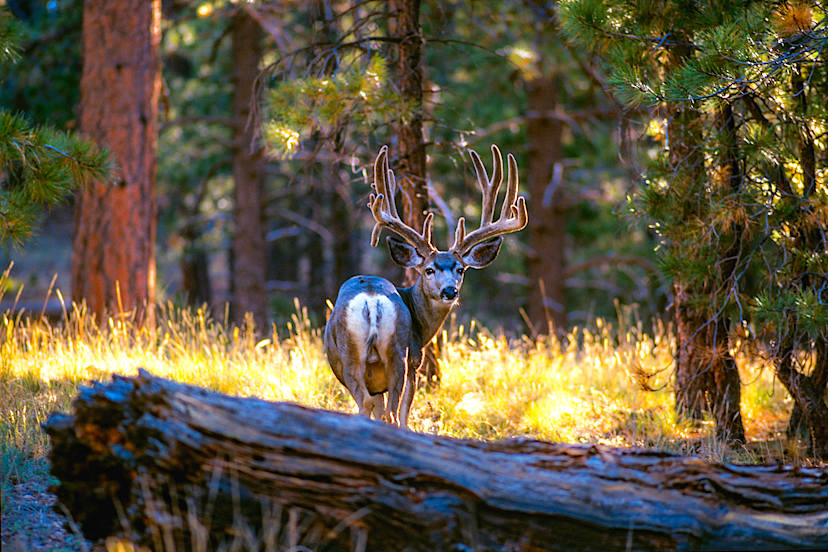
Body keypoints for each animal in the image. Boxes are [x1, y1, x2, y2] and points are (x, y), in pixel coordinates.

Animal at [324, 145, 528, 428]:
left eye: (460, 269)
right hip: (398, 355)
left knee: (366, 404)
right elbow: (403, 413)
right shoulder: (415, 360)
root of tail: (372, 299)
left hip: (351, 359)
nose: (450, 291)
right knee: (392, 412)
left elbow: (378, 409)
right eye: (429, 270)